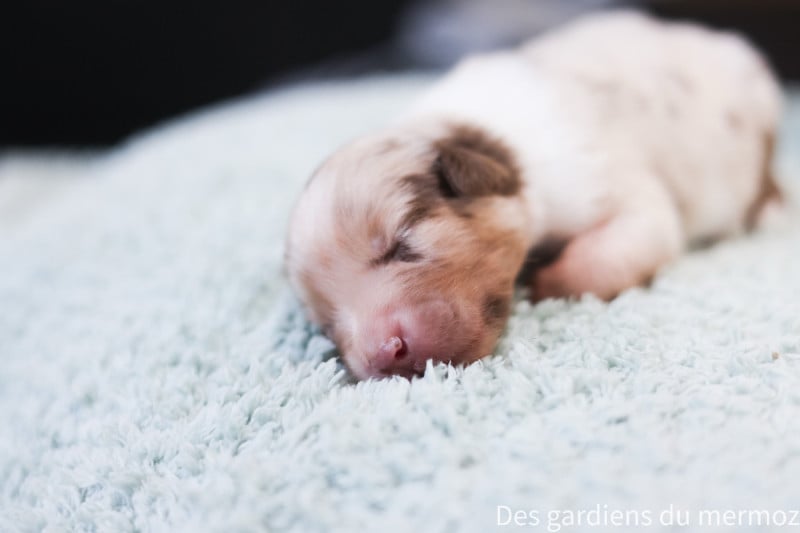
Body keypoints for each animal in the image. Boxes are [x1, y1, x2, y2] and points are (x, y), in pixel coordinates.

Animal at [285, 11, 783, 380]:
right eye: (326, 321)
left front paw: (546, 283)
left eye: (402, 242)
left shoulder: (609, 189)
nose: (383, 353)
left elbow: (613, 250)